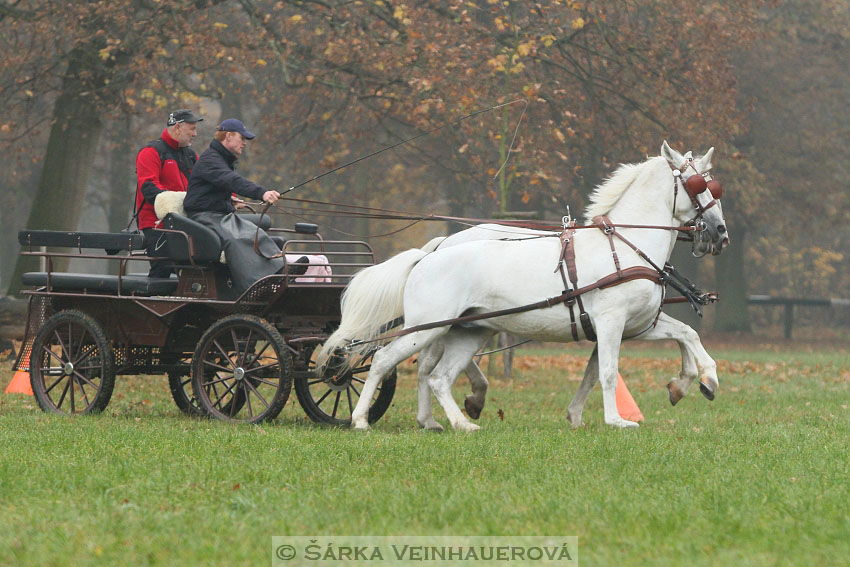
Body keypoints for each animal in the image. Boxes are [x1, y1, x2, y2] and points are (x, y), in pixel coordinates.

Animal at [314, 142, 724, 430]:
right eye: (696, 185)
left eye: (712, 185)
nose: (720, 232)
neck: (624, 247)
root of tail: (429, 254)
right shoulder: (611, 323)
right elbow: (607, 372)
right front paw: (616, 420)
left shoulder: (637, 325)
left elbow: (684, 336)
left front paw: (696, 381)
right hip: (425, 329)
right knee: (387, 361)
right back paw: (362, 420)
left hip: (463, 331)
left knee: (436, 375)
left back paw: (452, 422)